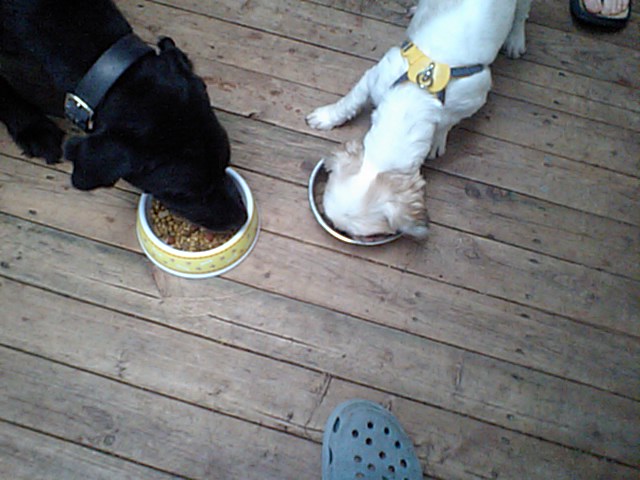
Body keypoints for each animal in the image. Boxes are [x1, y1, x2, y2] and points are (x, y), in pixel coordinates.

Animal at [306, 0, 532, 238]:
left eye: (363, 236)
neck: (419, 92)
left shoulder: (475, 98)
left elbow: (447, 122)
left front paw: (437, 140)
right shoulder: (376, 77)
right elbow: (351, 101)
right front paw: (326, 117)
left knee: (521, 14)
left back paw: (515, 39)